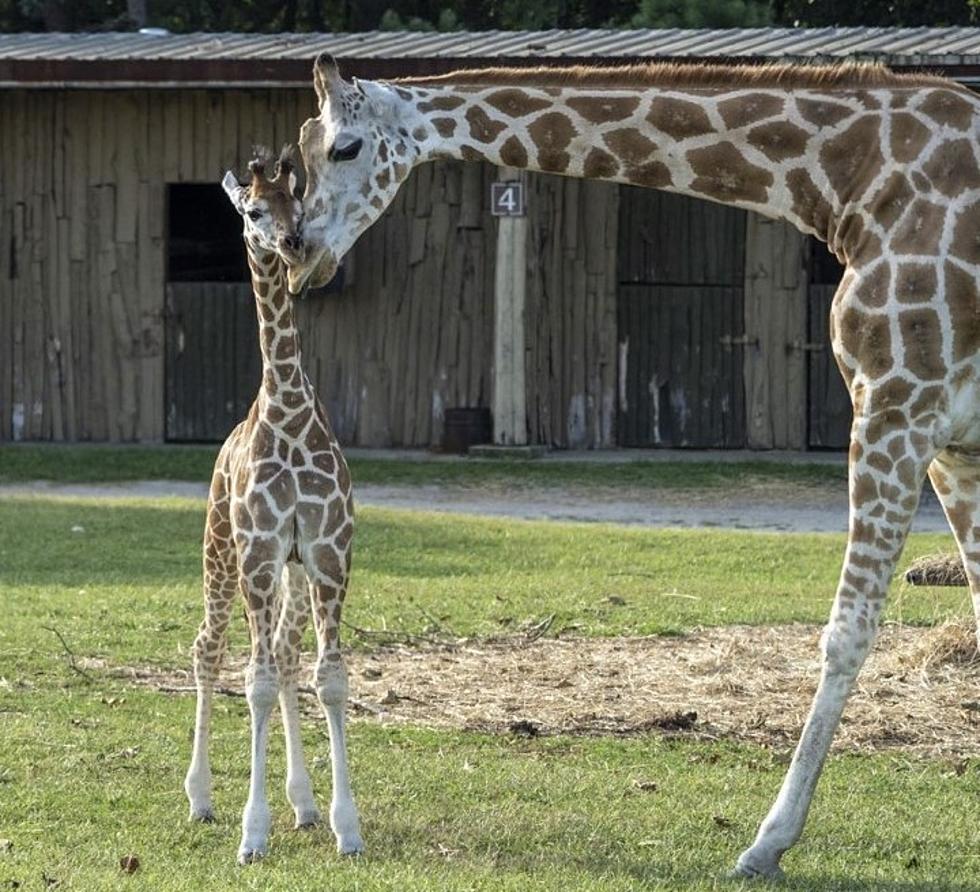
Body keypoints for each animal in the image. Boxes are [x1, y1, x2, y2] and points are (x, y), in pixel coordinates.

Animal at [182, 148, 362, 864]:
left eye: (298, 203)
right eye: (254, 210)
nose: (291, 244)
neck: (286, 410)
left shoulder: (327, 554)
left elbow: (328, 677)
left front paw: (346, 826)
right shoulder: (258, 553)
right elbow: (253, 682)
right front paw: (251, 833)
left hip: (287, 570)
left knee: (285, 656)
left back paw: (304, 804)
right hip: (220, 552)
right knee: (208, 647)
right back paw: (201, 798)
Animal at [286, 55, 980, 880]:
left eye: (345, 147)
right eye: (297, 151)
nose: (299, 253)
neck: (855, 179)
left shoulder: (898, 405)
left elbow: (846, 632)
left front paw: (767, 842)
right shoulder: (952, 442)